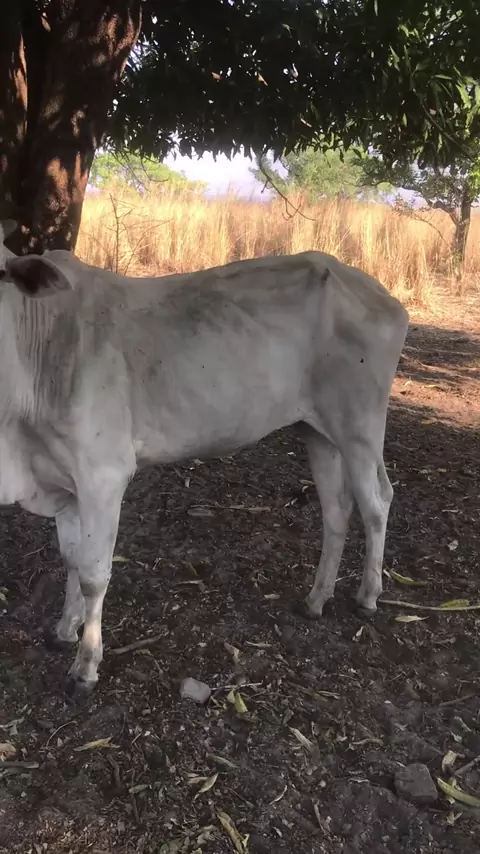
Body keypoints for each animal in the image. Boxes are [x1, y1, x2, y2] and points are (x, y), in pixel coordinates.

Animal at [0, 220, 409, 700]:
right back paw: (315, 599)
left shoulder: (103, 475)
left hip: (360, 426)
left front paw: (86, 666)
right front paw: (65, 629)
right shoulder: (62, 479)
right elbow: (70, 559)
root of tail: (376, 292)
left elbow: (93, 574)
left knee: (377, 501)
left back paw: (368, 596)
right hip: (317, 431)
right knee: (336, 510)